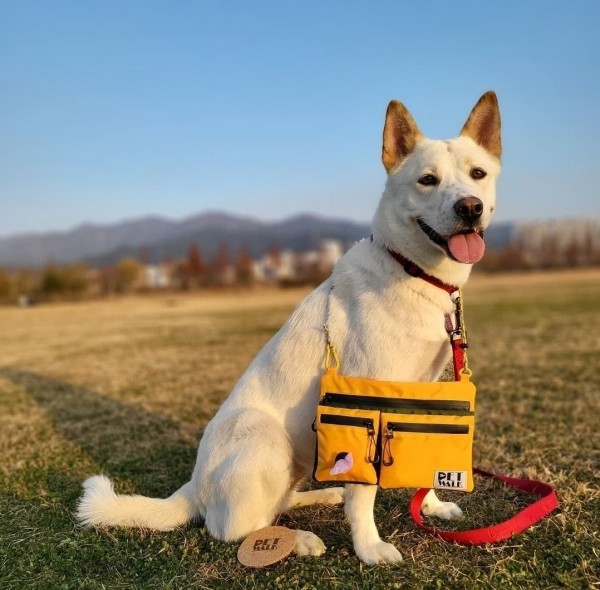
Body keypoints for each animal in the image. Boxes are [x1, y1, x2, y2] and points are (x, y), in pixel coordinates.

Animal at [78, 90, 502, 568]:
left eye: (478, 174)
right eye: (427, 180)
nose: (470, 207)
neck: (413, 271)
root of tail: (193, 487)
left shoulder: (421, 402)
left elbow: (422, 462)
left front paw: (429, 507)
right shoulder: (366, 406)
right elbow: (364, 493)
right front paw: (369, 547)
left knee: (279, 501)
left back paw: (321, 497)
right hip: (264, 436)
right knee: (231, 528)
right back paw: (296, 538)